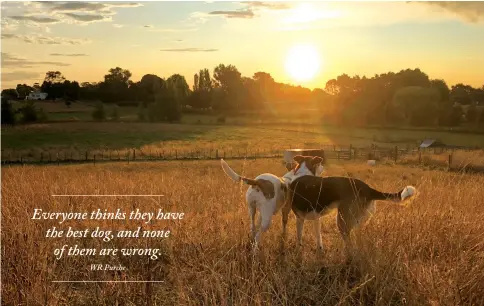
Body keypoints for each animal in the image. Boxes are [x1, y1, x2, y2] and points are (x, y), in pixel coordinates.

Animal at [284, 169, 416, 252]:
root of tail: (368, 189)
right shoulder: (316, 218)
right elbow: (318, 237)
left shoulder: (299, 218)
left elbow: (299, 237)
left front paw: (298, 250)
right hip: (357, 223)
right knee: (358, 243)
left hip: (342, 222)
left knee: (349, 245)